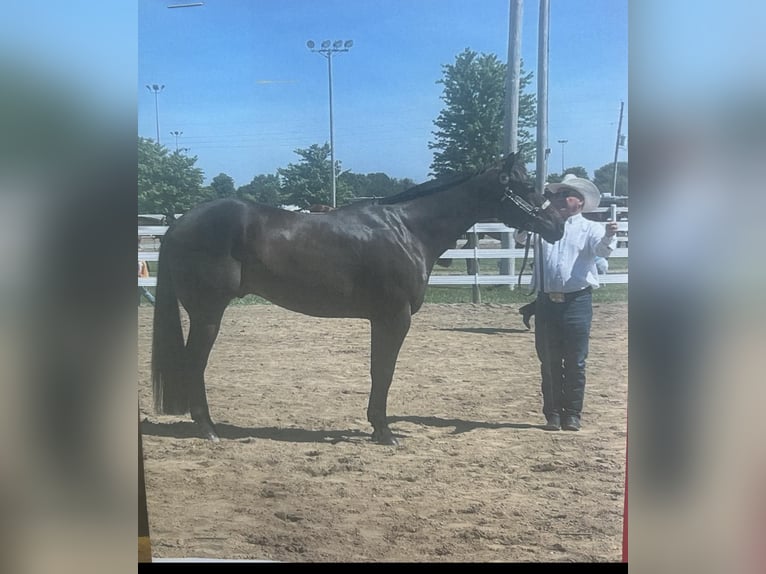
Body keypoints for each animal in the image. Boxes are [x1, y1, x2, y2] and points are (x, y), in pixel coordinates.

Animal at [153, 152, 568, 446]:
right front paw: (384, 432)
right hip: (208, 314)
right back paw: (208, 429)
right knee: (194, 363)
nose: (557, 227)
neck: (408, 230)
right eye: (525, 186)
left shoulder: (381, 319)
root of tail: (178, 224)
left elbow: (376, 370)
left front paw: (376, 426)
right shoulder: (395, 317)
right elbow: (384, 372)